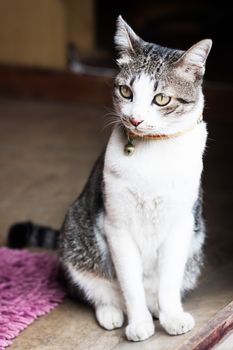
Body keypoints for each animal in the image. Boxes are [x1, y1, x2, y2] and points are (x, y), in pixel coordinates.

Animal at [9, 15, 212, 342]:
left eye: (161, 99)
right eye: (126, 92)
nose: (135, 119)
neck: (153, 154)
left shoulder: (182, 222)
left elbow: (169, 279)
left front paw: (171, 316)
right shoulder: (116, 225)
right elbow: (129, 284)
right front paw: (139, 323)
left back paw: (157, 308)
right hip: (77, 236)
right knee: (95, 289)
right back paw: (112, 312)